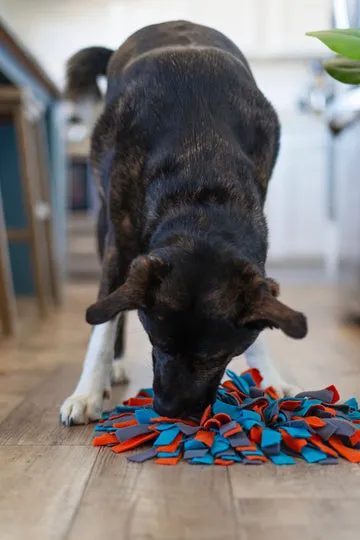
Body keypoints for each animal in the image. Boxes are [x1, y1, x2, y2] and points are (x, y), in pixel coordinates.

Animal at [61, 20, 306, 426]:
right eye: (158, 343)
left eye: (217, 357)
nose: (169, 410)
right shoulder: (120, 240)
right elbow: (103, 320)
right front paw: (88, 392)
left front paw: (269, 378)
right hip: (100, 227)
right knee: (111, 304)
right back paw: (113, 366)